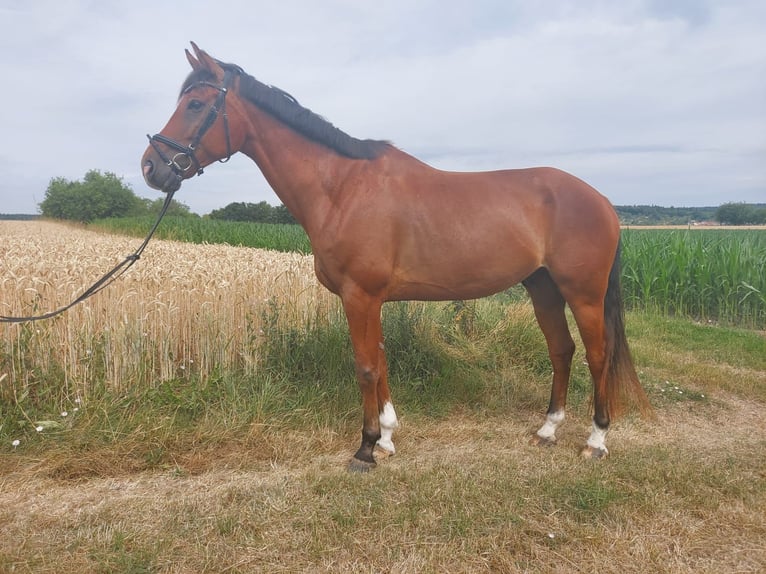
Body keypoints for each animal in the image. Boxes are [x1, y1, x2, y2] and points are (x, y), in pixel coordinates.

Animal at [142, 43, 651, 471]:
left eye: (194, 105)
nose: (151, 167)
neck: (342, 188)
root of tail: (604, 201)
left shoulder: (360, 296)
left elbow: (366, 367)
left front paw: (365, 449)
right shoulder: (371, 300)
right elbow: (381, 363)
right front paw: (386, 438)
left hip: (583, 293)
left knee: (597, 355)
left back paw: (596, 440)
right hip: (542, 286)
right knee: (561, 350)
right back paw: (547, 430)